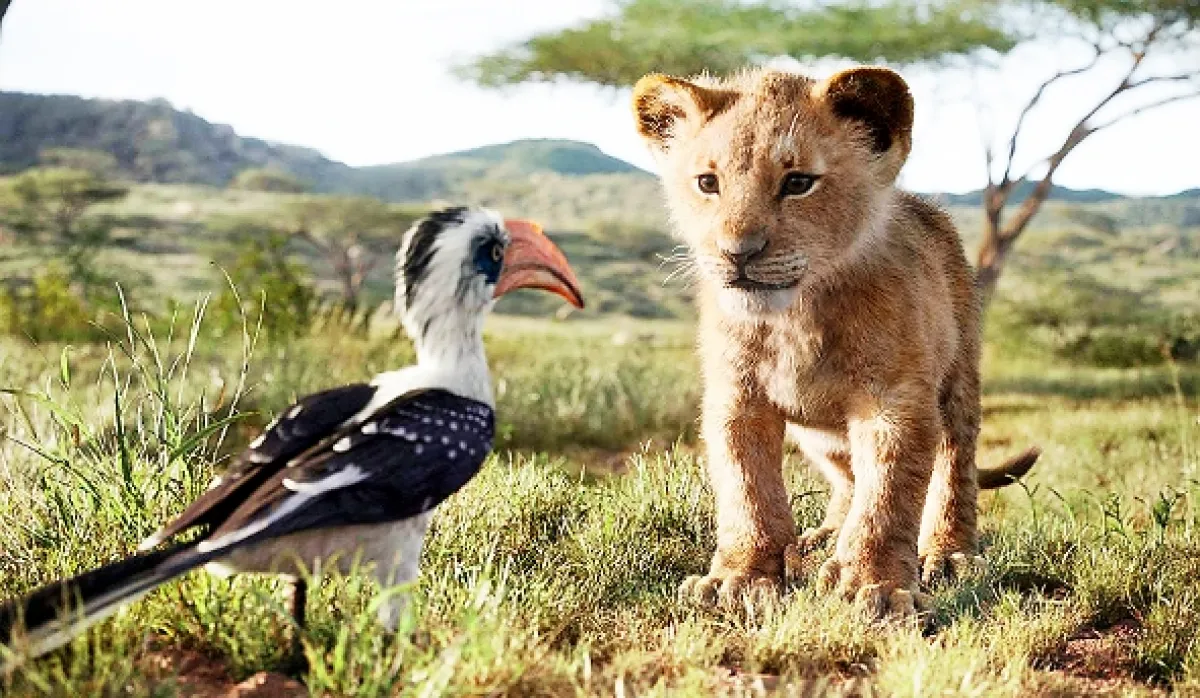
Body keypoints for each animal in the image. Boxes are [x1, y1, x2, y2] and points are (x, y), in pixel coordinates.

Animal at [630, 66, 1039, 616]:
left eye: (798, 183)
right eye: (707, 183)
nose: (738, 253)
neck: (794, 317)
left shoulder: (894, 400)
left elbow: (888, 495)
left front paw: (876, 585)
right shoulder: (737, 398)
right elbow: (747, 488)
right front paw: (740, 578)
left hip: (958, 381)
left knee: (954, 465)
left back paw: (947, 553)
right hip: (819, 434)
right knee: (847, 478)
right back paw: (821, 538)